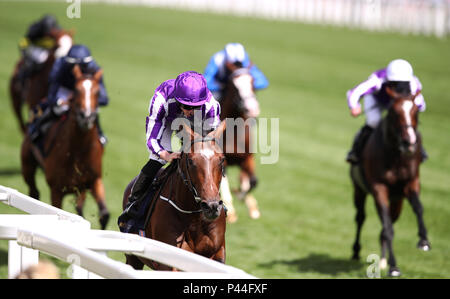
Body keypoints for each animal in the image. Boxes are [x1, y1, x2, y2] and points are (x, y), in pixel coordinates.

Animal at [20, 65, 109, 230]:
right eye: (77, 89)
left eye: (98, 92)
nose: (86, 116)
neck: (79, 152)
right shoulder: (56, 190)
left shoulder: (94, 180)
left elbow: (104, 215)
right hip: (27, 166)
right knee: (34, 193)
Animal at [350, 90, 430, 278]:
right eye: (394, 113)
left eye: (416, 112)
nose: (409, 142)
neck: (396, 156)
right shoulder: (379, 188)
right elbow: (387, 229)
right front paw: (394, 267)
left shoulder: (411, 182)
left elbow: (418, 208)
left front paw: (423, 240)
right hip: (359, 189)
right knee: (361, 218)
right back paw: (356, 251)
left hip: (397, 200)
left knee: (388, 222)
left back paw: (382, 260)